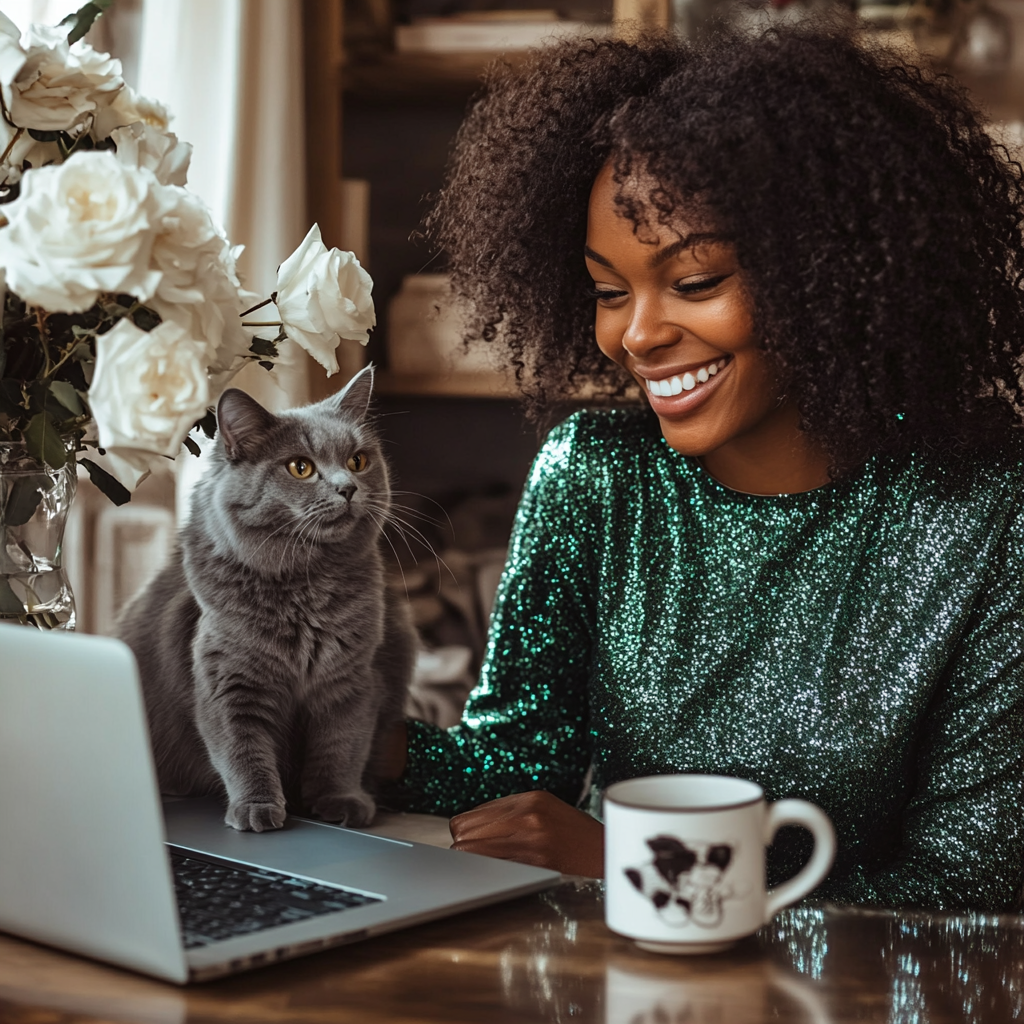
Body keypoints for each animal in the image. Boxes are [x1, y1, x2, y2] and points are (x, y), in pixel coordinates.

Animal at [114, 368, 413, 831]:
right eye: (300, 467)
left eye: (357, 461)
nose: (347, 488)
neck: (307, 587)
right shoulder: (229, 681)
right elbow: (243, 749)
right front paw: (257, 809)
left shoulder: (353, 681)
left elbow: (342, 747)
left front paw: (341, 801)